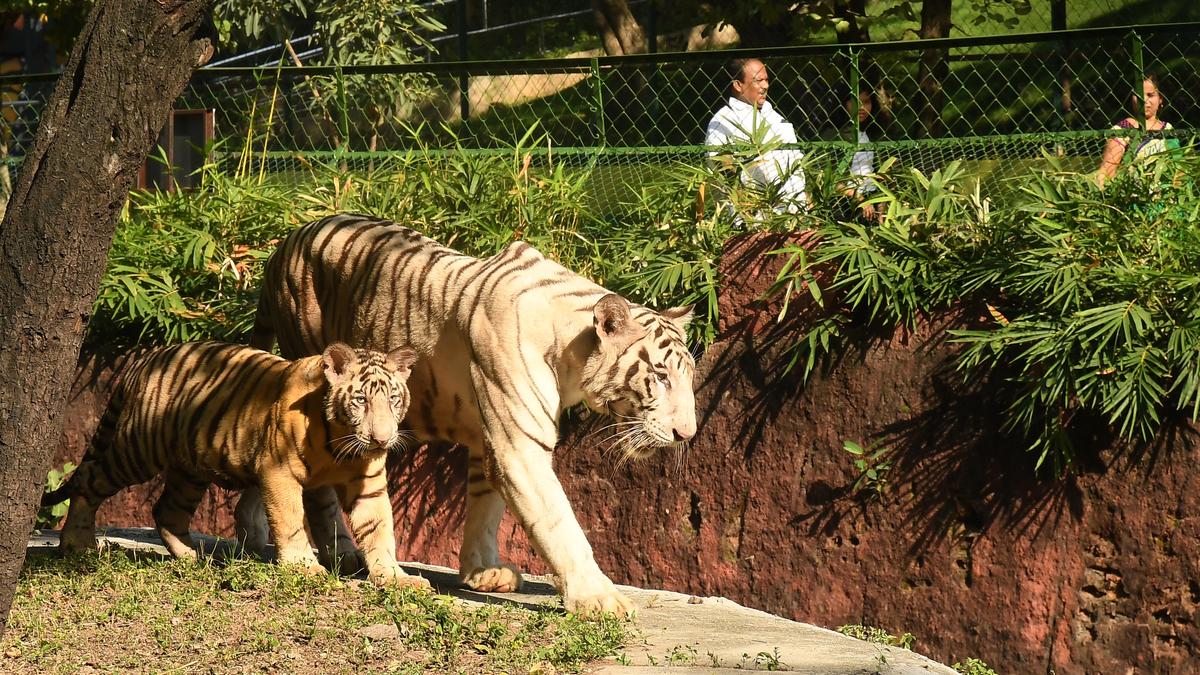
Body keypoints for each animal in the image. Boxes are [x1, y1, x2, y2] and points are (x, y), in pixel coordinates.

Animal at [232, 212, 696, 612]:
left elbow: (486, 506)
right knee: (318, 486)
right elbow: (558, 522)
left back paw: (250, 531)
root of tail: (283, 244)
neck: (570, 352)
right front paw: (599, 598)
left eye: (688, 376)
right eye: (661, 376)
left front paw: (482, 572)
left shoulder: (488, 436)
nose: (686, 435)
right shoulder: (520, 445)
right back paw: (341, 553)